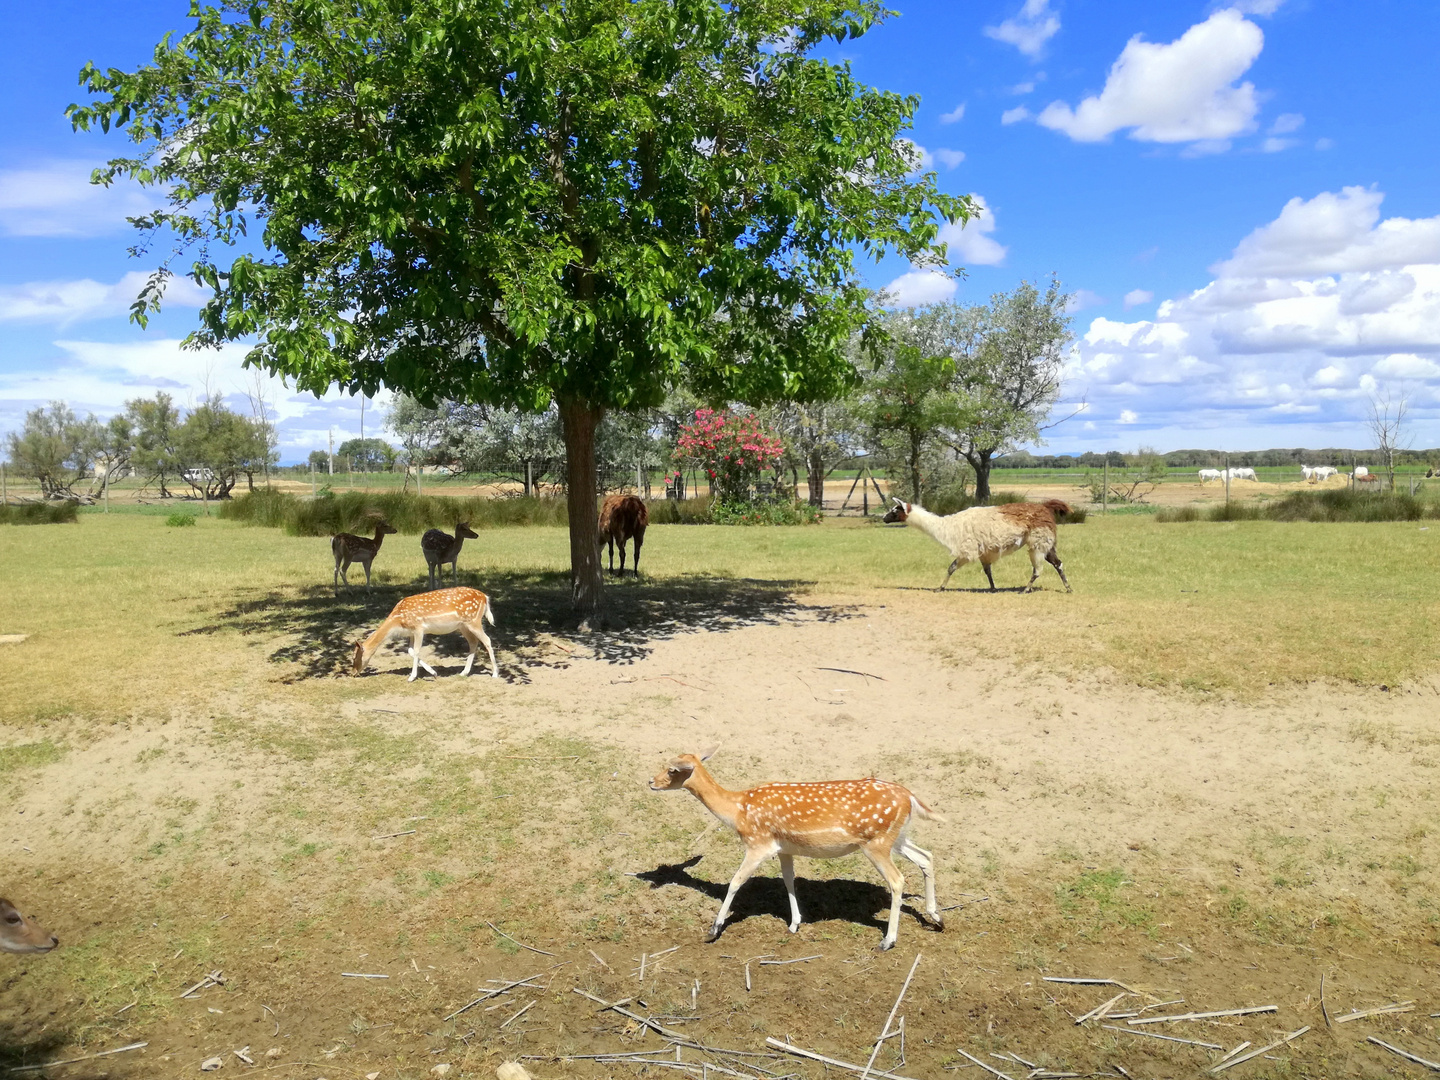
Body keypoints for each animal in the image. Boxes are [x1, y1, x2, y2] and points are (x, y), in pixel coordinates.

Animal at [351, 587, 498, 679]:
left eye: (354, 656)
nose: (353, 673)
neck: (398, 621)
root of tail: (485, 597)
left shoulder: (418, 628)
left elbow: (416, 651)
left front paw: (412, 677)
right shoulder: (411, 632)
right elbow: (410, 651)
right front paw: (433, 672)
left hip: (473, 621)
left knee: (487, 640)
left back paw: (495, 673)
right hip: (463, 625)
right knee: (473, 642)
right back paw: (464, 672)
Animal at [653, 748, 944, 950]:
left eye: (672, 769)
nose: (651, 782)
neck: (738, 812)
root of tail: (910, 797)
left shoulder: (758, 843)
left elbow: (735, 881)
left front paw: (713, 930)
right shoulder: (784, 848)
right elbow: (789, 880)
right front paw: (794, 924)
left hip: (877, 842)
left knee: (898, 880)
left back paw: (888, 941)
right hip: (896, 837)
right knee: (926, 856)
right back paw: (937, 917)